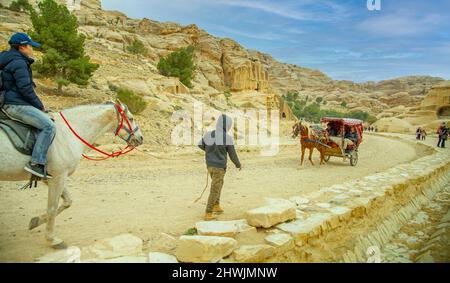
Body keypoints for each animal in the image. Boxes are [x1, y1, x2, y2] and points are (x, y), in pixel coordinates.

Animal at [0, 101, 143, 248]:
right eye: (131, 118)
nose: (140, 138)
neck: (67, 133)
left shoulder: (52, 178)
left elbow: (67, 202)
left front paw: (36, 221)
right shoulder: (58, 177)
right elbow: (52, 207)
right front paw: (52, 239)